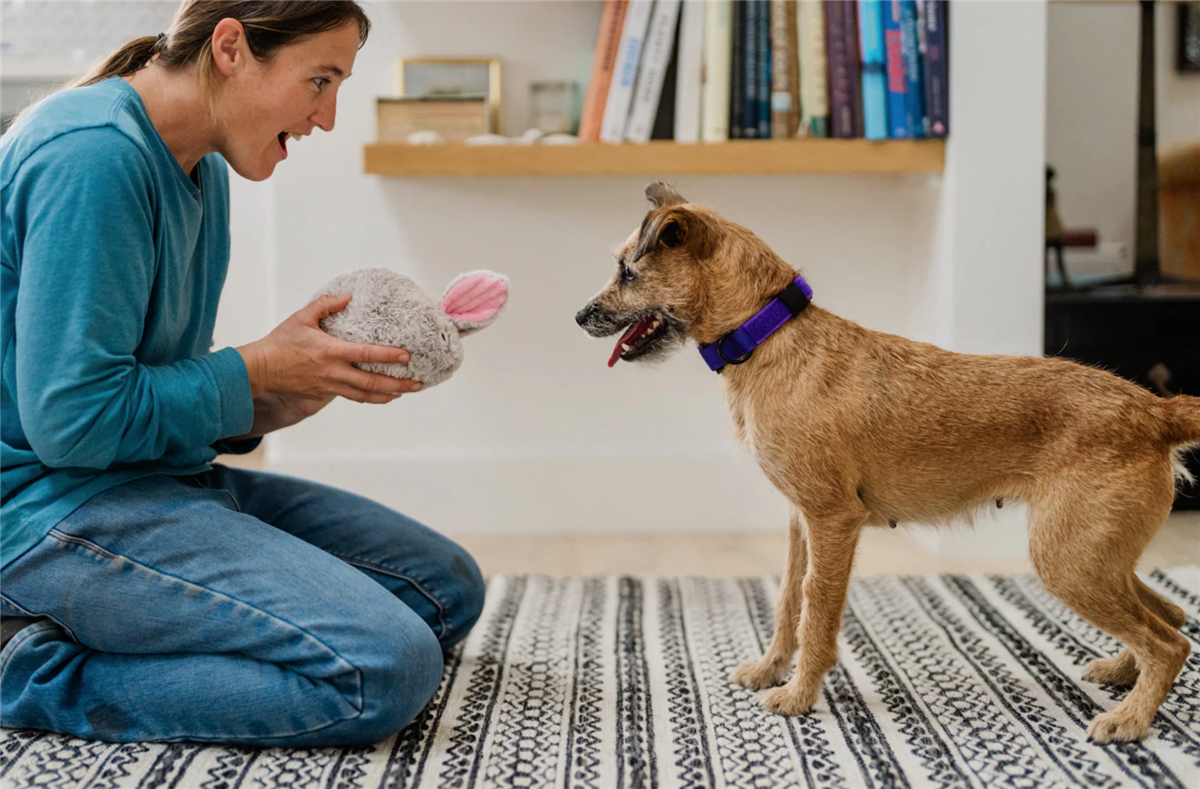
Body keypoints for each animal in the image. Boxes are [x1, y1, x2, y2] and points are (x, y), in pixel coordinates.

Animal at [576, 181, 1195, 738]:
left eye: (627, 272)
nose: (580, 316)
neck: (768, 335)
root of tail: (1156, 412)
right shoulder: (802, 522)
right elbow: (787, 598)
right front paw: (769, 669)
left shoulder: (833, 520)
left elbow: (816, 608)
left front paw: (798, 696)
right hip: (1095, 556)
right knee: (1170, 615)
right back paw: (1122, 675)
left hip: (1068, 559)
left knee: (1170, 641)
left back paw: (1130, 718)